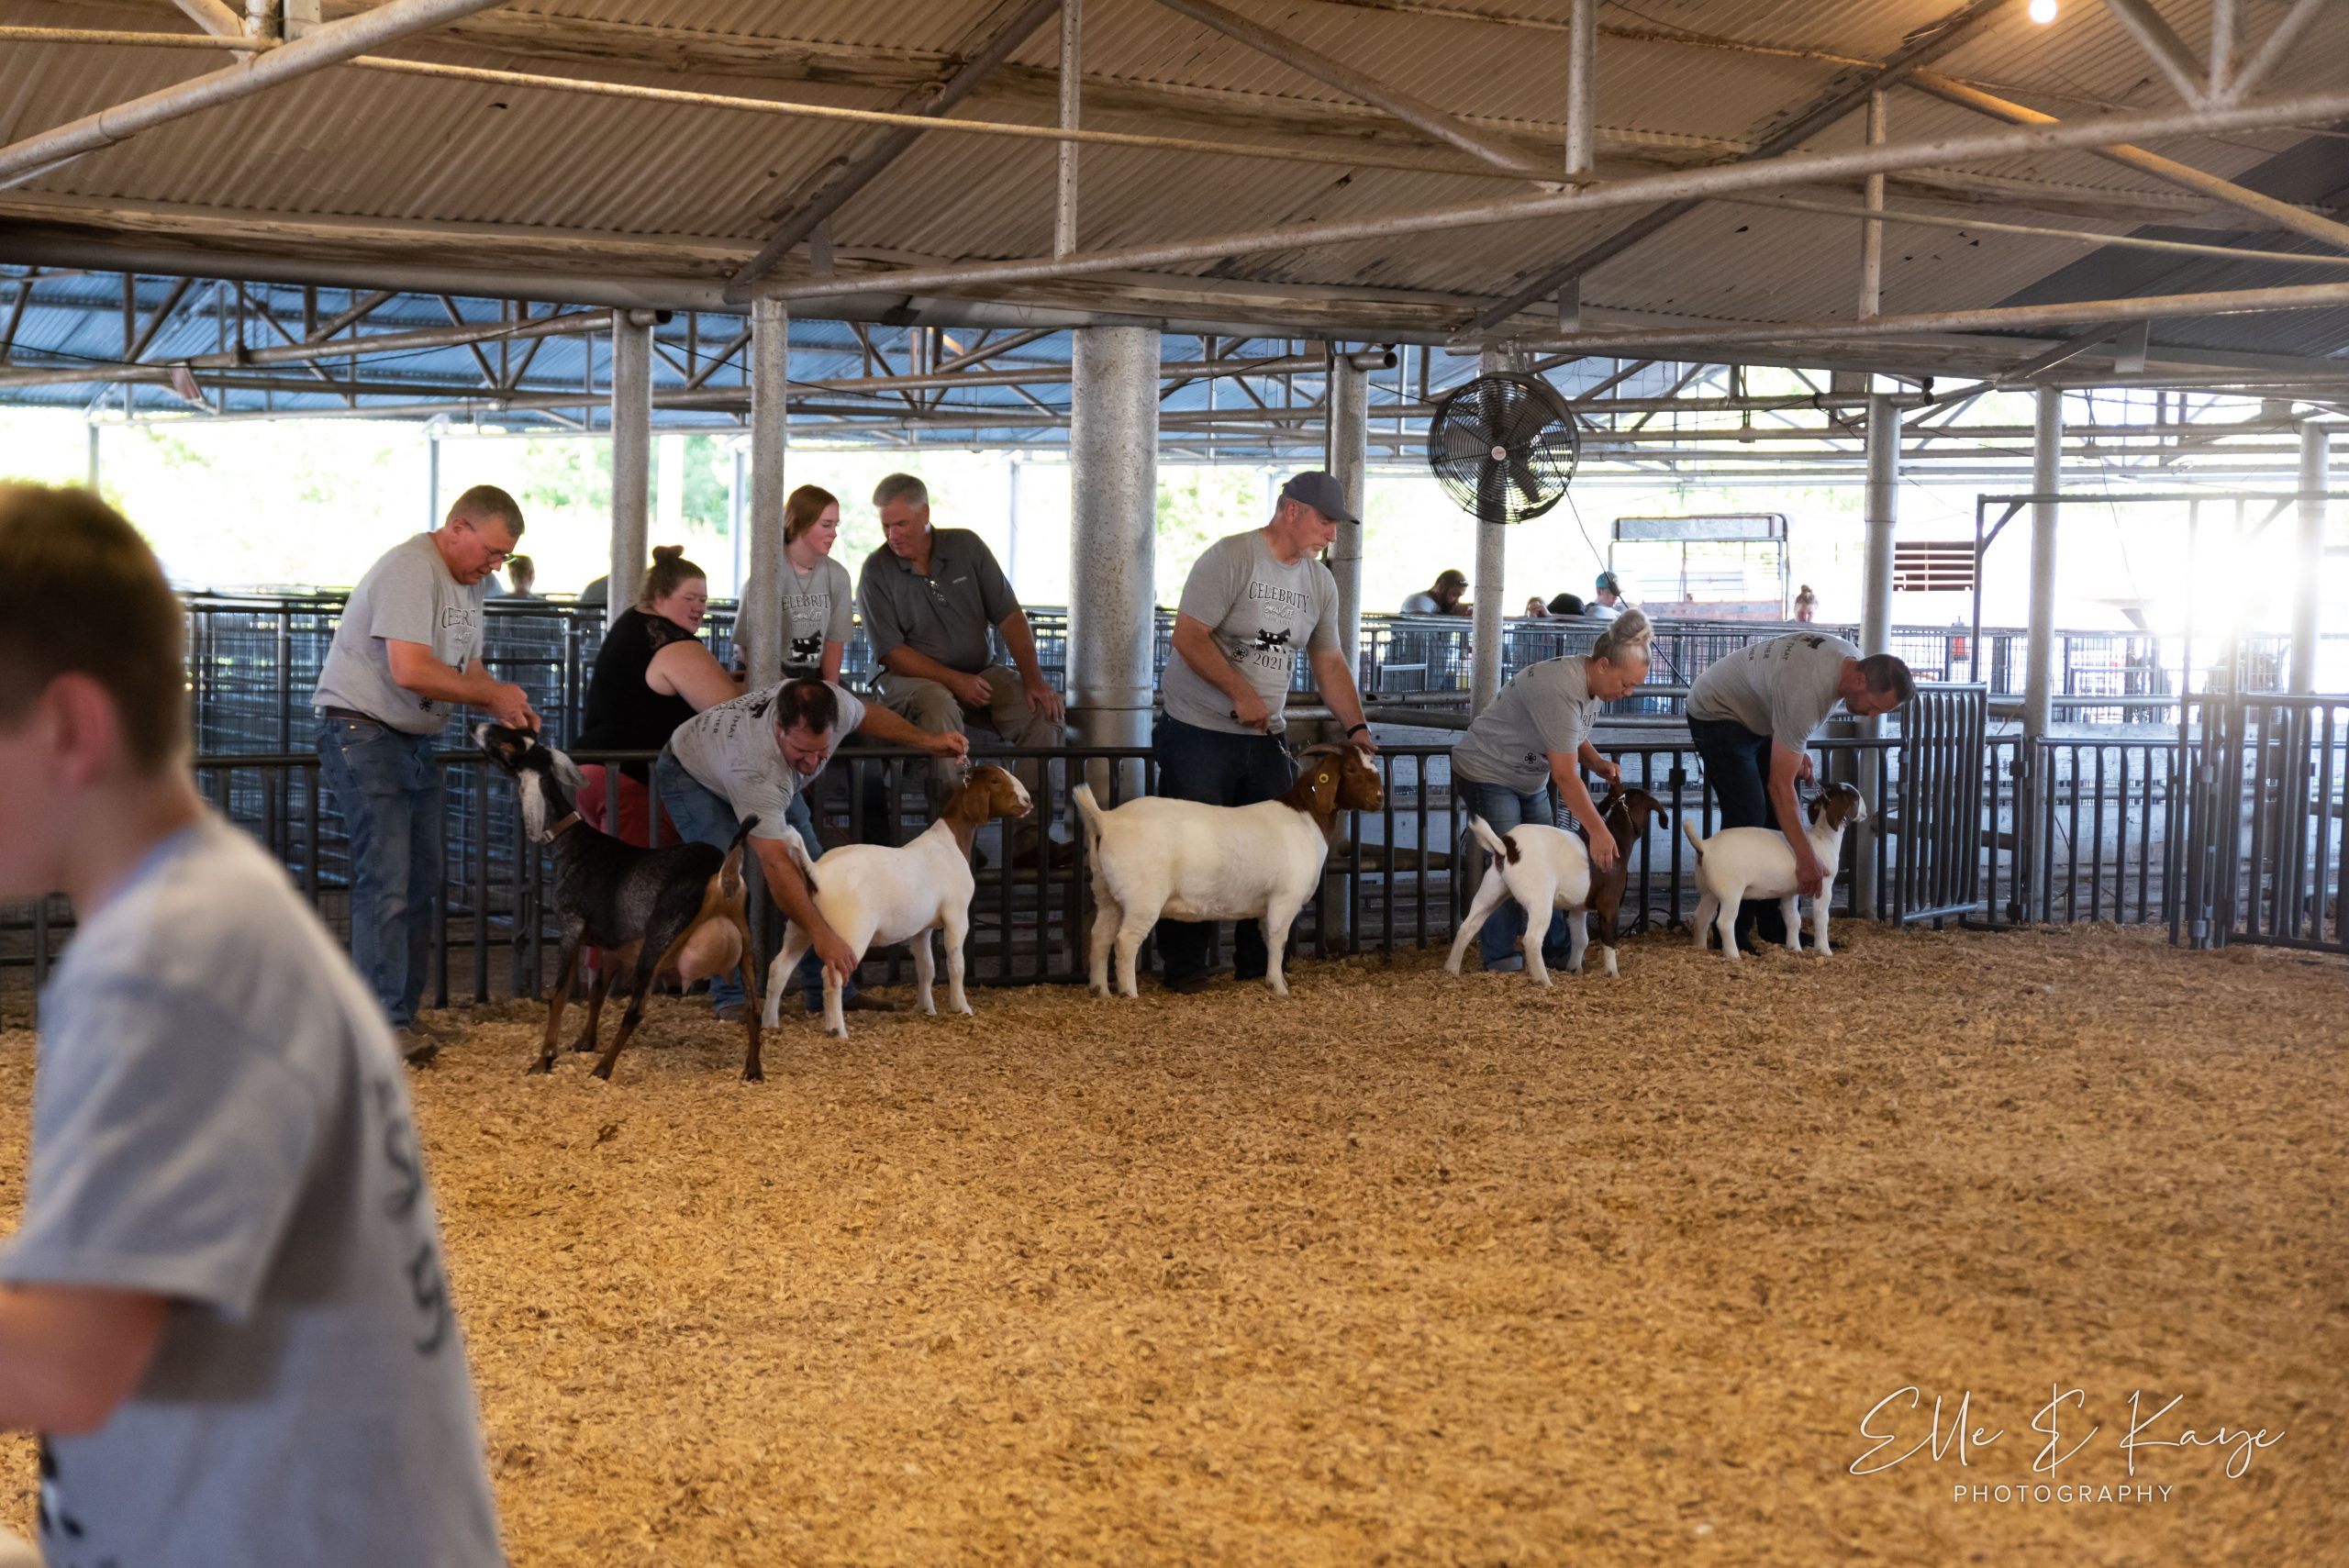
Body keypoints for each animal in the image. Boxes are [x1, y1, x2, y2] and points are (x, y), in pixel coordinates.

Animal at [475, 723, 766, 1081]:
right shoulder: (612, 943)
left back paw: (603, 1067)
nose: (479, 727)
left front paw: (544, 1059)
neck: (572, 843)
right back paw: (752, 1069)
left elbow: (559, 994)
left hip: (658, 939)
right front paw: (584, 1042)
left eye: (511, 744)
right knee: (755, 1009)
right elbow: (597, 990)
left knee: (636, 1009)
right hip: (746, 943)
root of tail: (723, 872)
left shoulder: (571, 924)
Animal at [760, 765, 1033, 1038]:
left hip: (801, 925)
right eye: (995, 780)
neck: (951, 842)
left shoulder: (922, 928)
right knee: (832, 975)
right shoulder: (956, 915)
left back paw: (769, 1023)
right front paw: (961, 1007)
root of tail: (818, 872)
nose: (1028, 801)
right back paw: (838, 1030)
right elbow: (956, 964)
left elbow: (926, 967)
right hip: (849, 932)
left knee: (778, 968)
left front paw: (926, 1008)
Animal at [1074, 743, 1383, 998]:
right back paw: (1129, 993)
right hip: (1142, 897)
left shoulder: (1266, 904)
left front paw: (1270, 980)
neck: (1306, 817)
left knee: (1099, 937)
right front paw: (1279, 987)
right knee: (1124, 941)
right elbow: (1278, 940)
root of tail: (1107, 819)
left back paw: (1100, 990)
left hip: (1106, 892)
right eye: (1351, 768)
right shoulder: (1285, 898)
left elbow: (1265, 937)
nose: (1380, 798)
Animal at [1445, 787, 1671, 983]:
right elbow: (1608, 940)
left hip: (1491, 890)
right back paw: (1543, 981)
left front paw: (1575, 969)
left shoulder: (1579, 908)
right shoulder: (1609, 904)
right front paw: (1613, 973)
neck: (1617, 841)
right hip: (1539, 898)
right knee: (1532, 939)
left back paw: (1451, 970)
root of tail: (1506, 847)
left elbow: (1581, 939)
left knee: (1467, 927)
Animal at [1680, 781, 1870, 960]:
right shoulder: (1823, 885)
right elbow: (1822, 917)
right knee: (1724, 922)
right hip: (1730, 892)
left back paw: (1700, 948)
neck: (1822, 839)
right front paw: (1824, 950)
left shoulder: (1790, 892)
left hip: (1708, 891)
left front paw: (1795, 948)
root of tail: (1705, 846)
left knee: (1701, 917)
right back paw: (1734, 955)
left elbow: (1793, 919)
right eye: (1856, 797)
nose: (1866, 812)